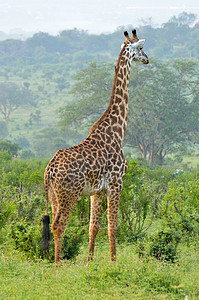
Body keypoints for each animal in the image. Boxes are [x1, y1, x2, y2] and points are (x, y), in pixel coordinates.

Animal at [43, 29, 148, 262]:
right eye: (141, 48)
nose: (147, 59)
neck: (118, 131)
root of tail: (50, 170)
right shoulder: (116, 183)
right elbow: (113, 226)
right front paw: (114, 261)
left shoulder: (97, 191)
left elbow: (94, 227)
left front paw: (90, 261)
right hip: (69, 194)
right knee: (59, 225)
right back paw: (58, 263)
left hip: (53, 195)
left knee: (52, 223)